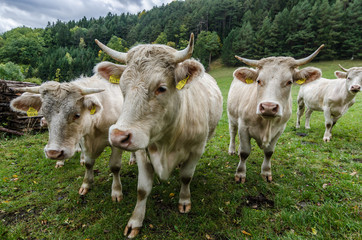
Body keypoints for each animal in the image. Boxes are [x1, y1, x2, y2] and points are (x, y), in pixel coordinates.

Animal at [10, 62, 136, 202]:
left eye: (77, 115)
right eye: (45, 115)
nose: (53, 153)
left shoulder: (116, 141)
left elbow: (114, 166)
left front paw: (116, 191)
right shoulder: (84, 139)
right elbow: (88, 163)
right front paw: (86, 184)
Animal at [94, 33, 222, 238]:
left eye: (161, 88)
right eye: (122, 87)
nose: (119, 136)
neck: (167, 141)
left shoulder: (196, 149)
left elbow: (186, 177)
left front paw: (184, 201)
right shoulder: (142, 151)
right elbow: (142, 190)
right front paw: (135, 221)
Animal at [228, 45, 324, 184]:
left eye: (289, 82)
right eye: (258, 81)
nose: (268, 107)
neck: (266, 123)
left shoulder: (279, 129)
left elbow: (269, 152)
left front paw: (266, 172)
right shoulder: (243, 127)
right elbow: (244, 152)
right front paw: (240, 174)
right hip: (232, 118)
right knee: (232, 133)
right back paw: (231, 150)